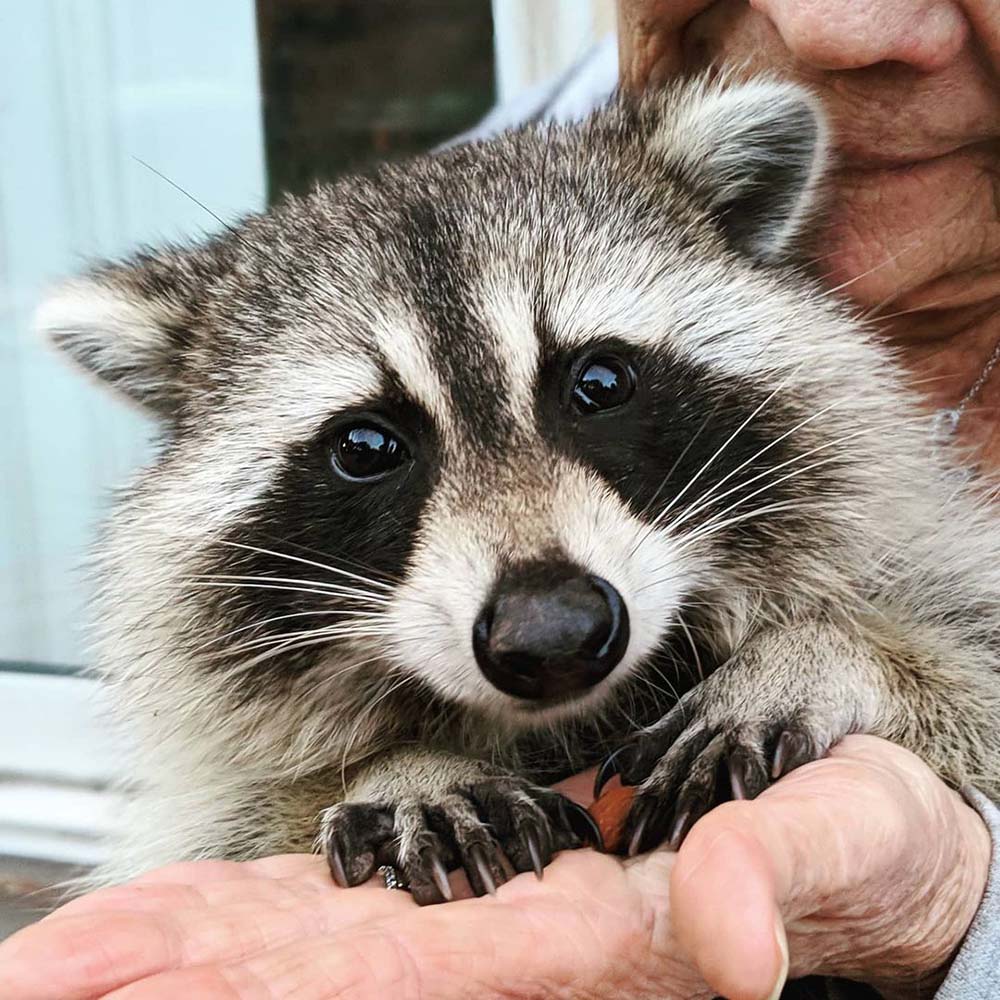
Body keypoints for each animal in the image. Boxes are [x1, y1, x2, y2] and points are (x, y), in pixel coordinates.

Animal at [35, 80, 1000, 908]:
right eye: (366, 446)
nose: (554, 634)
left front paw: (829, 650)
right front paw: (400, 761)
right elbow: (223, 821)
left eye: (600, 382)